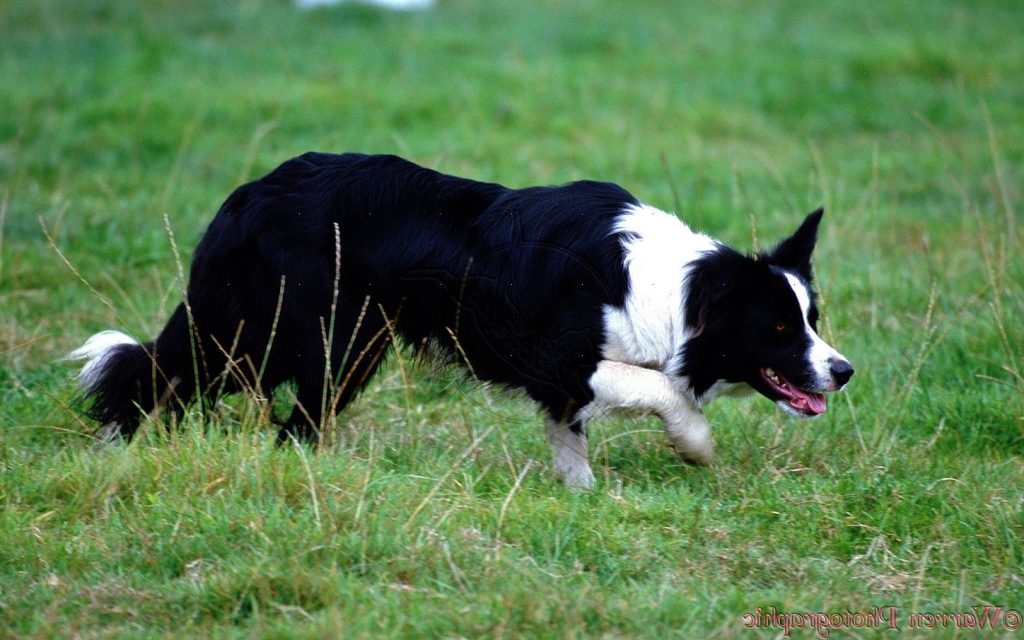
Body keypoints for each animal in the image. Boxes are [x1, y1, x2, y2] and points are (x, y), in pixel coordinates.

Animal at [72, 152, 851, 487]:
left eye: (812, 317)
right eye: (780, 330)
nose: (843, 371)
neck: (675, 289)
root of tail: (247, 195)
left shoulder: (562, 384)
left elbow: (570, 442)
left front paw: (579, 502)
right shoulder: (552, 356)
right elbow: (662, 387)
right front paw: (695, 444)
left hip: (335, 345)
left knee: (267, 415)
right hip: (302, 337)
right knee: (168, 372)